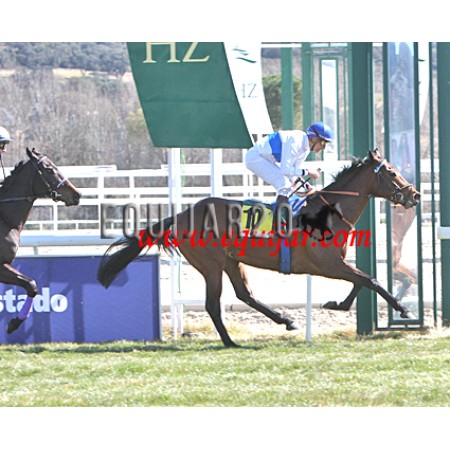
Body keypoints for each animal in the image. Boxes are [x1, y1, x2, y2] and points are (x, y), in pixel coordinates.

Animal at [0, 148, 81, 334]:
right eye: (50, 169)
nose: (77, 194)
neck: (4, 219)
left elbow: (32, 285)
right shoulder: (0, 266)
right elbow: (31, 285)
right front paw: (14, 323)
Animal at [97, 149, 420, 347]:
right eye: (392, 172)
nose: (415, 195)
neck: (327, 213)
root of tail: (182, 215)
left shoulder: (338, 264)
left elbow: (361, 281)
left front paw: (335, 304)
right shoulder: (328, 265)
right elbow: (371, 280)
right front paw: (403, 309)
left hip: (232, 260)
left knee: (245, 295)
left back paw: (285, 320)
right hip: (211, 264)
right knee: (213, 304)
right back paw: (230, 341)